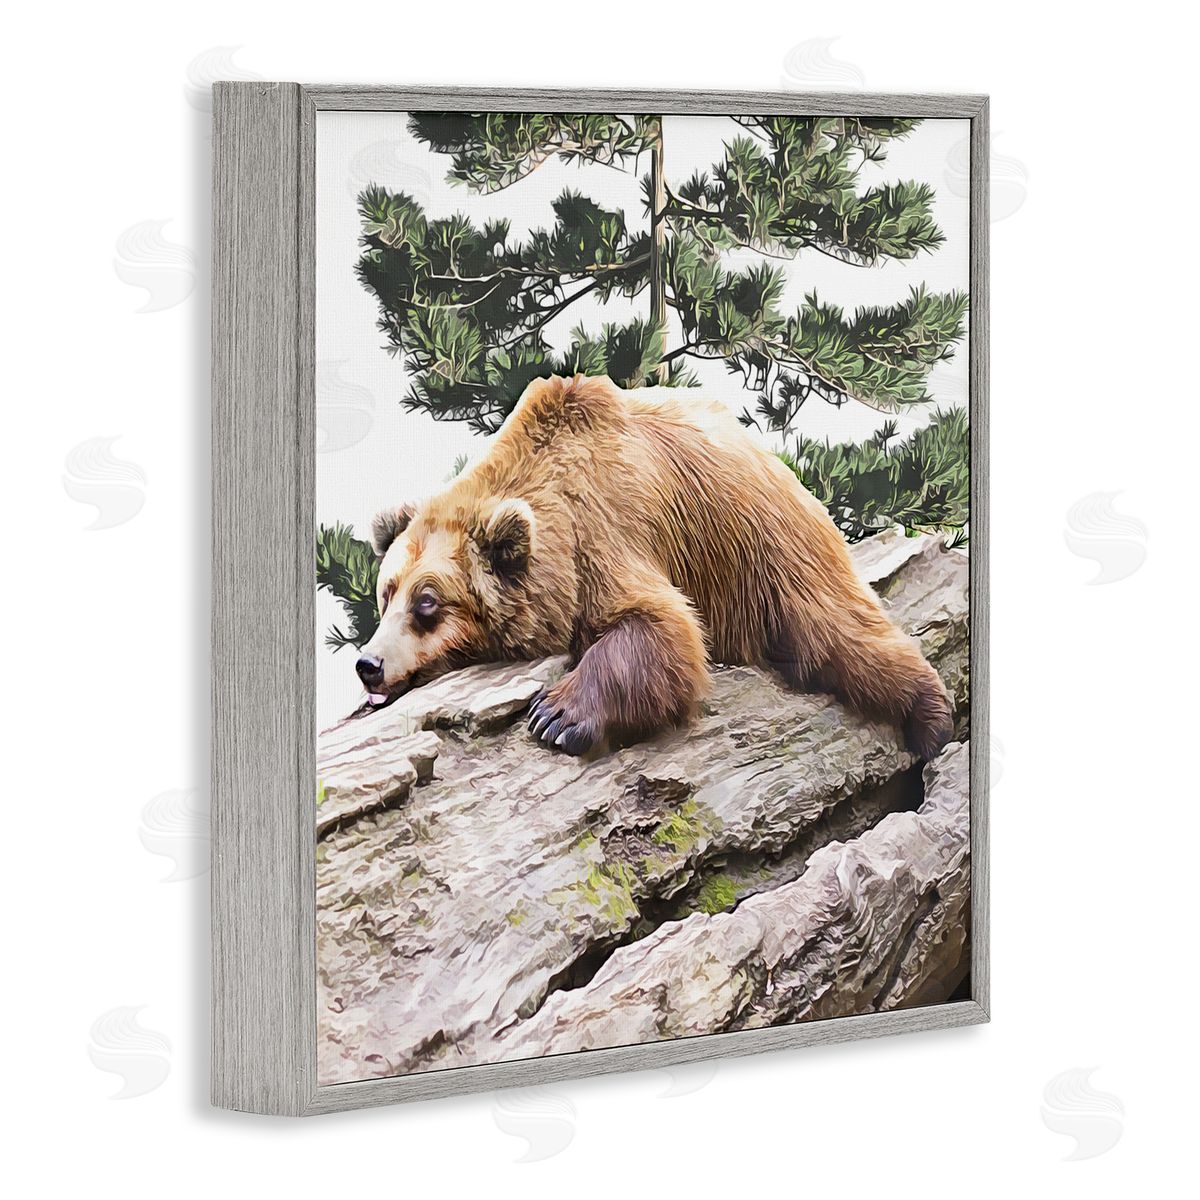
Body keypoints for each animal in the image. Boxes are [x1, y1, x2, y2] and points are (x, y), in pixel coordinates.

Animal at [357, 374, 954, 760]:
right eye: (386, 593)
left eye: (428, 602)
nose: (369, 663)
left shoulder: (605, 528)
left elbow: (661, 627)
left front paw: (556, 716)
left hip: (767, 544)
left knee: (839, 632)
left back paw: (932, 718)